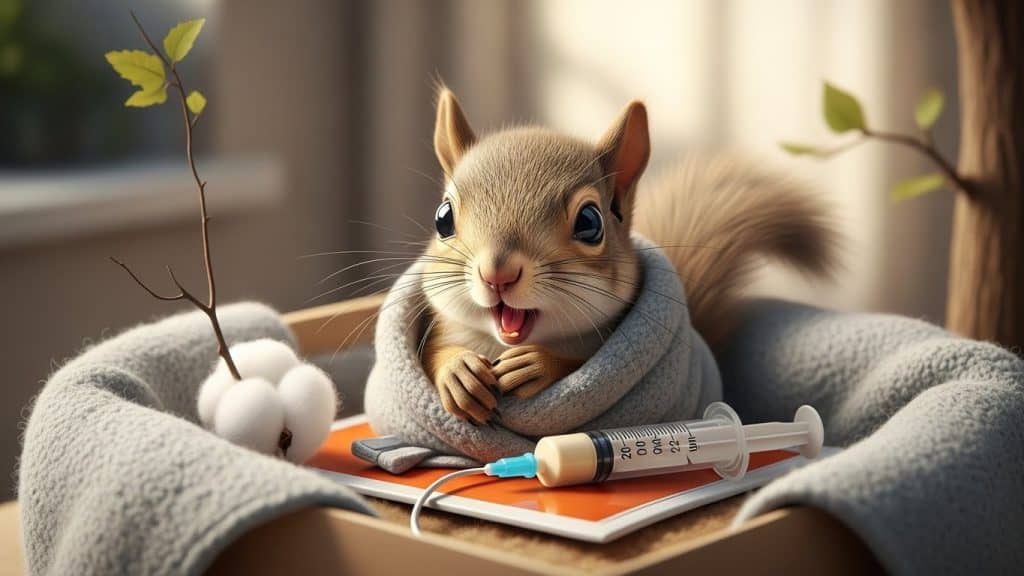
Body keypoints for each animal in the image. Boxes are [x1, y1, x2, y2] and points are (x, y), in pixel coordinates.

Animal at [419, 88, 836, 425]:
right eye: (443, 218)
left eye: (589, 221)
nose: (498, 273)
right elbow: (434, 353)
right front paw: (458, 371)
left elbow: (580, 369)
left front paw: (540, 364)